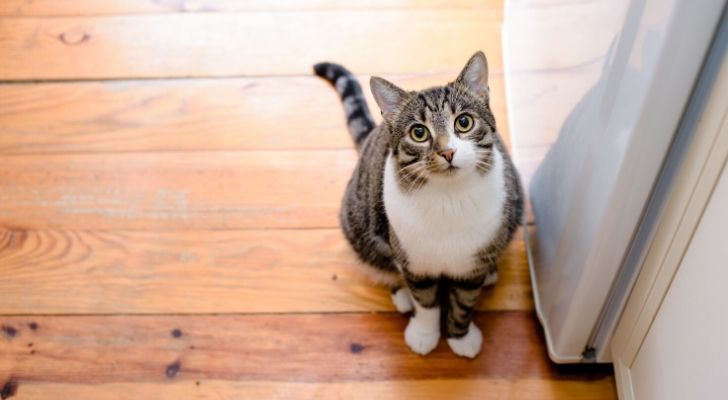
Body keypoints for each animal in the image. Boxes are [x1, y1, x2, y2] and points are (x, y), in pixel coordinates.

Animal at [312, 51, 524, 358]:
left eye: (464, 122)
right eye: (419, 133)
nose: (448, 151)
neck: (449, 198)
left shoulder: (472, 261)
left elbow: (464, 302)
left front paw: (460, 337)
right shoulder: (414, 261)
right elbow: (425, 302)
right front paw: (424, 333)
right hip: (359, 223)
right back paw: (402, 295)